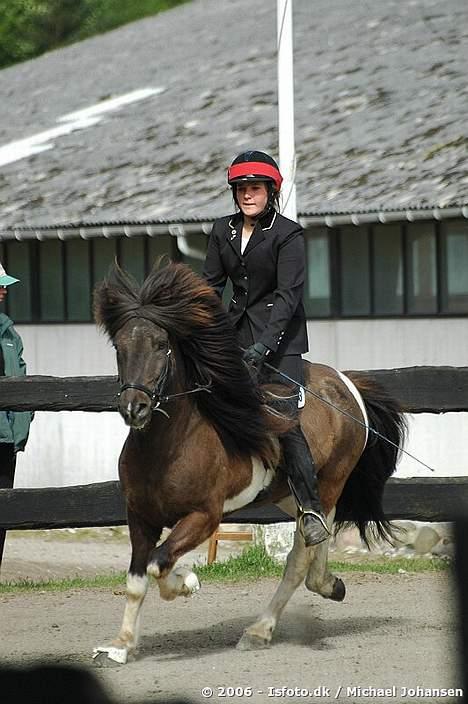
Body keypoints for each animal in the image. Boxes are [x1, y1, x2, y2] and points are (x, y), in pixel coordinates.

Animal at [91, 262, 406, 664]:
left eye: (161, 346)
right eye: (120, 347)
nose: (135, 409)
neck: (169, 445)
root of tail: (345, 383)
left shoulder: (204, 516)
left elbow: (158, 563)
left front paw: (188, 582)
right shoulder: (140, 516)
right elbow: (136, 579)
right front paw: (121, 645)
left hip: (332, 480)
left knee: (301, 555)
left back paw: (260, 629)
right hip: (290, 494)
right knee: (315, 538)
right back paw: (328, 585)